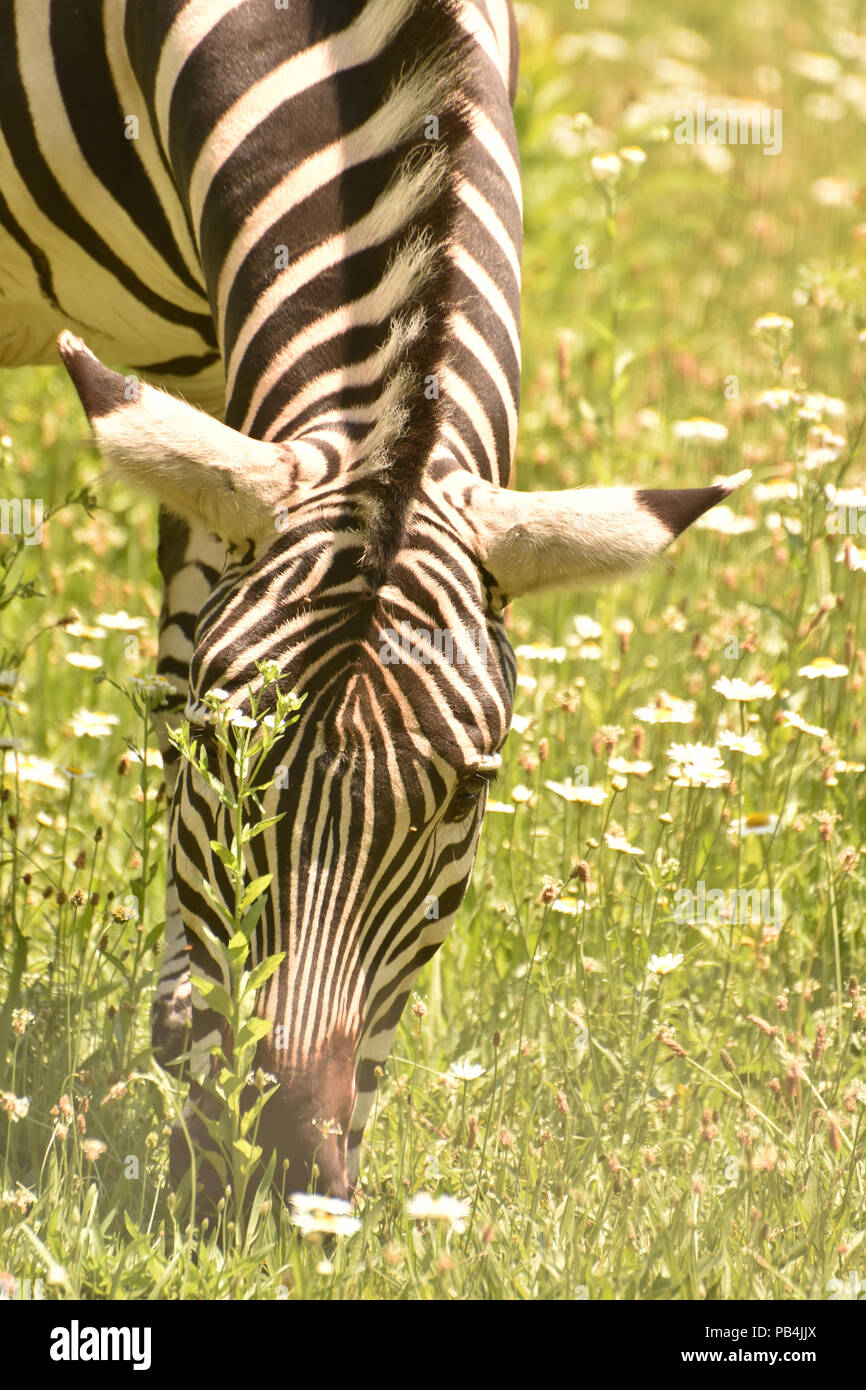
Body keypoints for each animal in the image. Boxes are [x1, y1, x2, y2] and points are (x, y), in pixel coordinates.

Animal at [0, 0, 750, 1200]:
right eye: (223, 755)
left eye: (466, 793)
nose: (281, 1169)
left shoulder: (222, 366)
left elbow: (179, 638)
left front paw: (180, 1032)